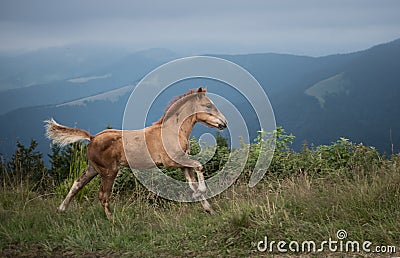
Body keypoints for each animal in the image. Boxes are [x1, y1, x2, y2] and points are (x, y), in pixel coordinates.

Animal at [45, 87, 227, 219]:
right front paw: (203, 192)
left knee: (77, 184)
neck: (173, 131)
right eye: (208, 106)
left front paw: (209, 209)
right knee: (102, 195)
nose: (224, 123)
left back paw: (61, 209)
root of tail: (92, 138)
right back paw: (111, 218)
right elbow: (199, 166)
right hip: (109, 171)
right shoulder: (172, 161)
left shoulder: (183, 165)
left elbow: (192, 183)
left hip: (93, 168)